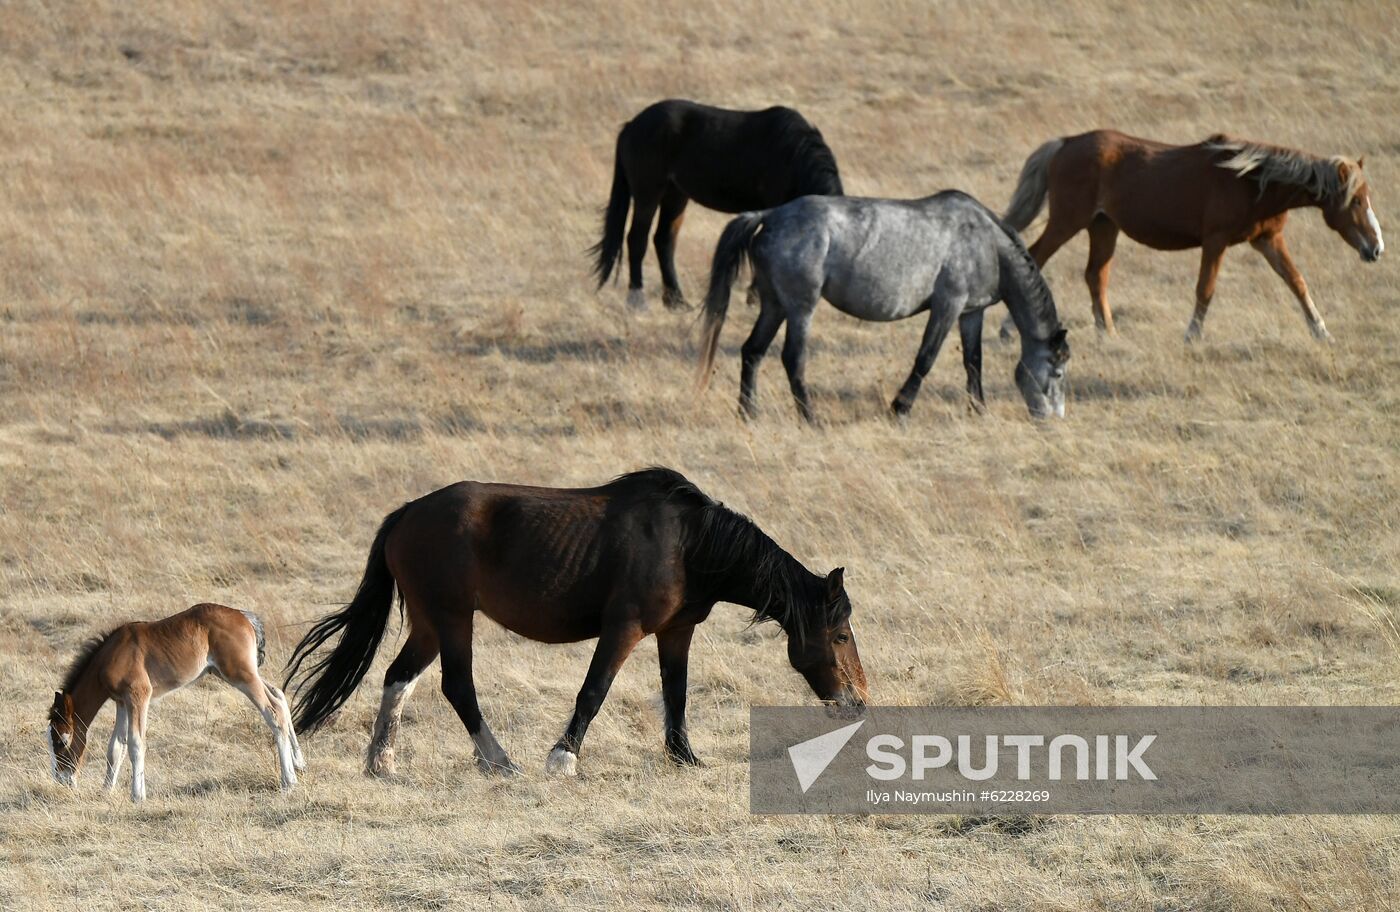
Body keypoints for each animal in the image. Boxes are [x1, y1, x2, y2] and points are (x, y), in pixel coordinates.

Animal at [47, 602, 303, 801]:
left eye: (60, 741)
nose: (61, 779)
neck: (111, 655)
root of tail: (244, 616)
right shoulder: (122, 702)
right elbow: (116, 747)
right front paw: (106, 791)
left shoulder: (138, 696)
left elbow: (136, 744)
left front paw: (137, 796)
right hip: (233, 673)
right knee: (279, 696)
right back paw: (299, 764)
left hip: (241, 675)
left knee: (273, 712)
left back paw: (288, 782)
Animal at [284, 470, 862, 778]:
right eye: (840, 635)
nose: (856, 701)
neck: (688, 543)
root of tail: (406, 514)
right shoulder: (624, 628)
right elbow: (594, 690)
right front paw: (563, 758)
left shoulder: (676, 631)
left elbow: (676, 692)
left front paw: (684, 756)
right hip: (451, 618)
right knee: (457, 686)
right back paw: (499, 761)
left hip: (430, 621)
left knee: (398, 678)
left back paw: (382, 762)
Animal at [588, 100, 840, 313]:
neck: (793, 155)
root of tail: (631, 126)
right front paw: (756, 298)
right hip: (648, 193)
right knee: (637, 239)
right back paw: (637, 300)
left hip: (675, 194)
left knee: (664, 240)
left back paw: (676, 301)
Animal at [700, 191, 1069, 425]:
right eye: (1058, 373)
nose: (1052, 418)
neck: (987, 243)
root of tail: (771, 215)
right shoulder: (948, 304)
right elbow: (926, 358)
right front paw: (899, 409)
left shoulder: (970, 312)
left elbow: (973, 362)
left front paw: (979, 410)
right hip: (800, 308)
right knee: (792, 358)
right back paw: (810, 418)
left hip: (774, 306)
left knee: (752, 351)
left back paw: (749, 413)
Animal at [1002, 128, 1383, 341]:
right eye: (1356, 200)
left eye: (1367, 197)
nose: (1376, 249)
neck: (1252, 181)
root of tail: (1065, 143)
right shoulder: (1215, 241)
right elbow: (1206, 289)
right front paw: (1192, 336)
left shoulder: (1268, 240)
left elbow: (1297, 282)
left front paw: (1322, 332)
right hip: (1068, 221)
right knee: (1036, 258)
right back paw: (1011, 330)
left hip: (1103, 226)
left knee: (1096, 275)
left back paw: (1107, 333)